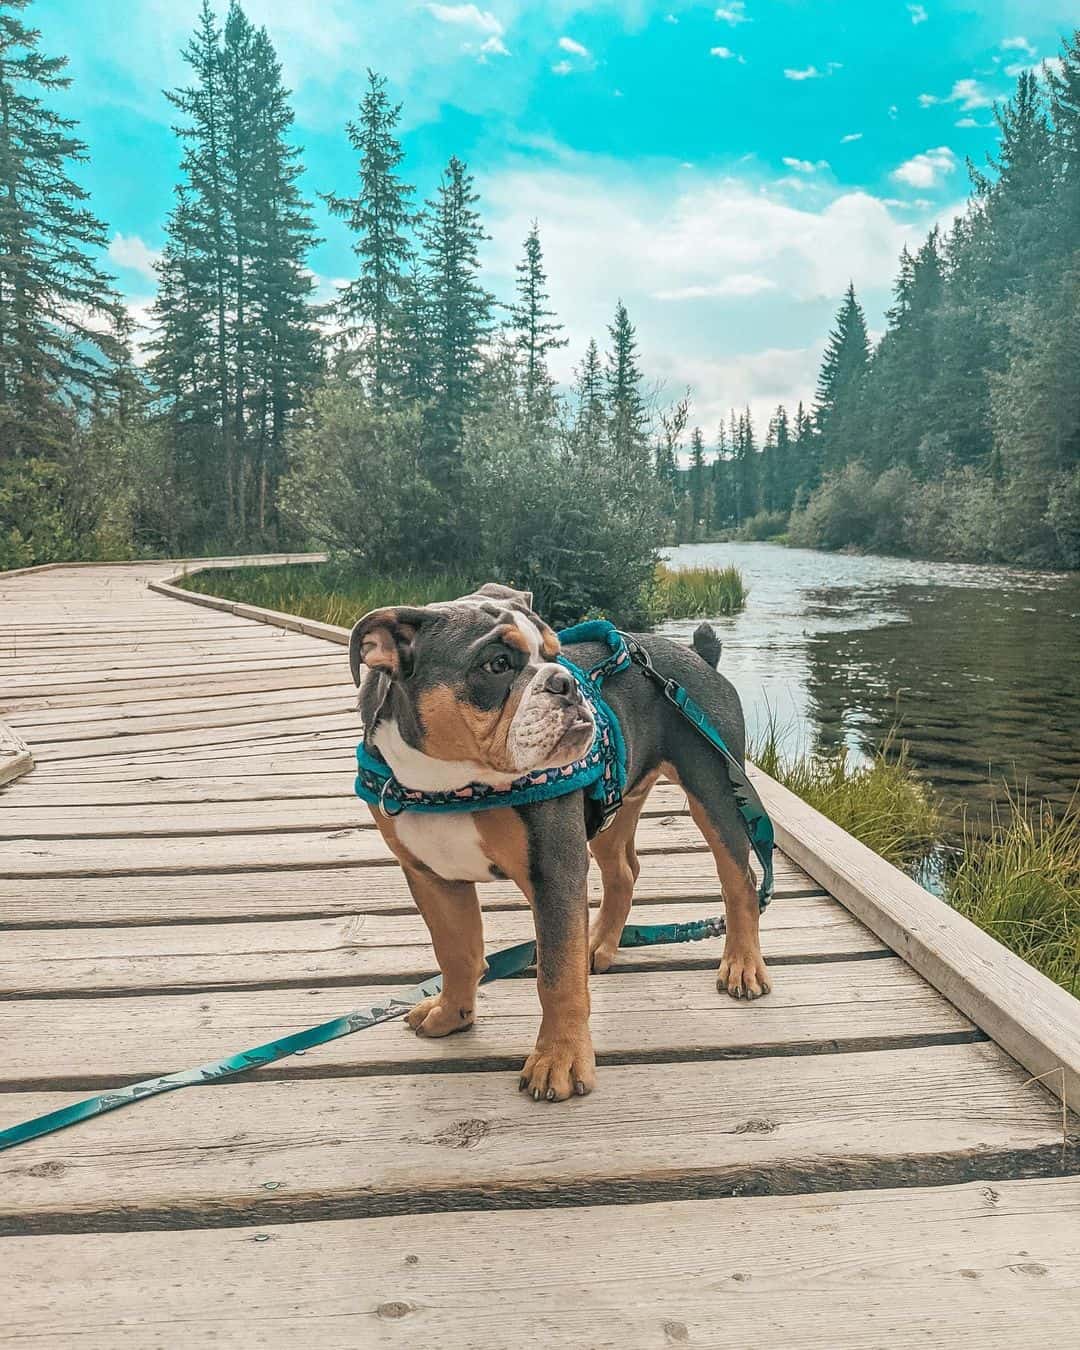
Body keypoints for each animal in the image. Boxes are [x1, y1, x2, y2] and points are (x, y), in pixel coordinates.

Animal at [351, 585, 772, 1101]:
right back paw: (599, 943)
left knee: (740, 879)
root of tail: (699, 657)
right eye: (497, 664)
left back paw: (742, 964)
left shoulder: (554, 871)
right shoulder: (431, 876)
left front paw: (560, 1060)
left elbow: (556, 975)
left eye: (555, 654)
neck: (449, 782)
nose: (565, 682)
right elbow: (456, 951)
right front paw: (452, 1013)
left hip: (715, 791)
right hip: (614, 808)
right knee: (623, 872)